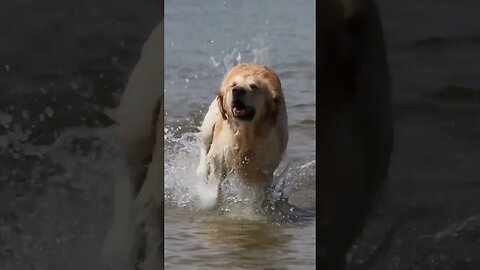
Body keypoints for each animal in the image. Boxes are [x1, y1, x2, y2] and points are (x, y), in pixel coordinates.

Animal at [196, 63, 286, 206]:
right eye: (233, 85)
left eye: (254, 86)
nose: (237, 91)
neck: (246, 133)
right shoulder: (220, 154)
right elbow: (215, 185)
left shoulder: (264, 168)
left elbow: (258, 196)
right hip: (209, 123)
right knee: (204, 147)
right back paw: (202, 170)